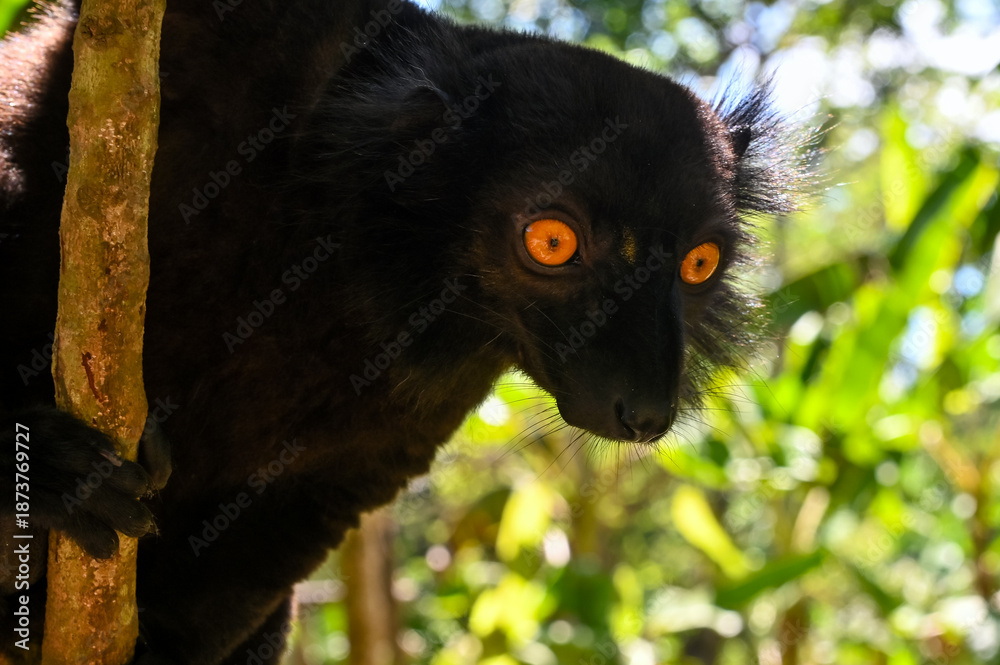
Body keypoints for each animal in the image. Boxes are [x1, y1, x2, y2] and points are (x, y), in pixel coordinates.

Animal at [0, 0, 806, 662]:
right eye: (552, 242)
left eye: (700, 262)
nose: (644, 411)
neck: (358, 256)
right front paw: (55, 468)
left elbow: (308, 498)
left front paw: (161, 645)